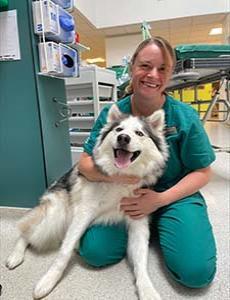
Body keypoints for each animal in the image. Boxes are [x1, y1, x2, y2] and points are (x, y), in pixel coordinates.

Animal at [5, 104, 167, 298]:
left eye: (139, 133)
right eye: (119, 130)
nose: (123, 138)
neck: (121, 178)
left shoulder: (138, 219)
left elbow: (141, 262)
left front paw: (147, 290)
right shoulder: (84, 212)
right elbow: (64, 253)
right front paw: (48, 280)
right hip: (54, 216)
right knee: (26, 231)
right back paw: (15, 256)